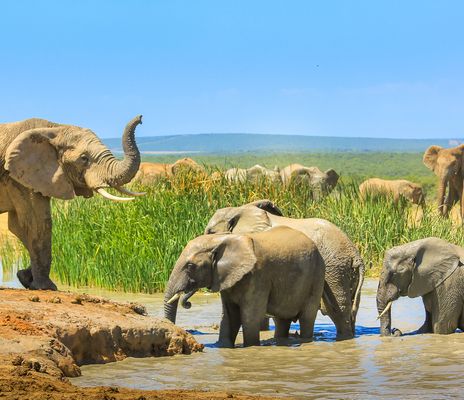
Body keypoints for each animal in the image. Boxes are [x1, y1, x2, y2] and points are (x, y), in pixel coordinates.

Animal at [0, 115, 143, 290]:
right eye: (84, 159)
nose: (141, 118)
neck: (55, 128)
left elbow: (19, 228)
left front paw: (25, 278)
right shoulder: (19, 177)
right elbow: (38, 223)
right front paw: (47, 287)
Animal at [165, 225, 324, 346]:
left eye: (190, 266)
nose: (188, 303)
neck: (221, 239)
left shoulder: (258, 275)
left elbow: (250, 316)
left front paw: (251, 346)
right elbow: (230, 315)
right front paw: (223, 346)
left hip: (316, 276)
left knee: (307, 317)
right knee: (282, 320)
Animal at [203, 198, 366, 340]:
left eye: (211, 232)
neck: (239, 210)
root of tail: (355, 255)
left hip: (335, 270)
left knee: (337, 310)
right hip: (345, 272)